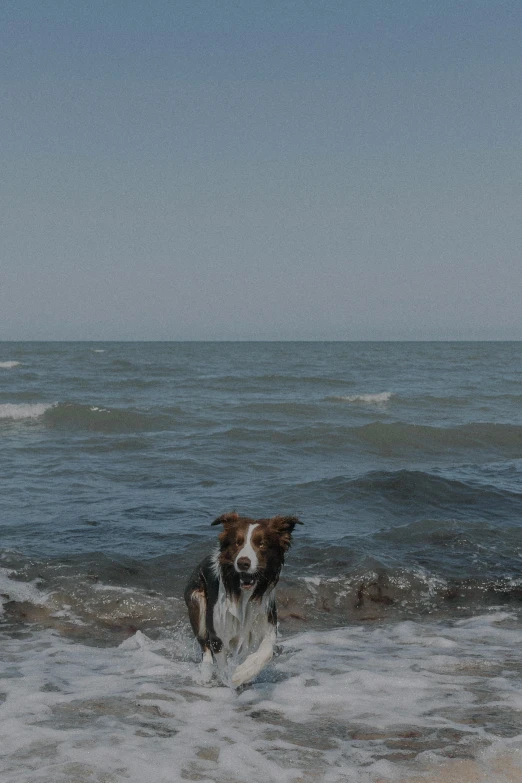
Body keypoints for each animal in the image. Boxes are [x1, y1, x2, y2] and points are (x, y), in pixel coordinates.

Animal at [186, 516, 302, 688]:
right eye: (237, 542)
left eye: (262, 543)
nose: (243, 563)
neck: (244, 595)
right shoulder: (218, 634)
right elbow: (222, 664)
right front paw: (229, 681)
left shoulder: (265, 621)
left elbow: (266, 650)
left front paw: (243, 672)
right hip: (197, 603)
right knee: (204, 646)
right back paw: (205, 674)